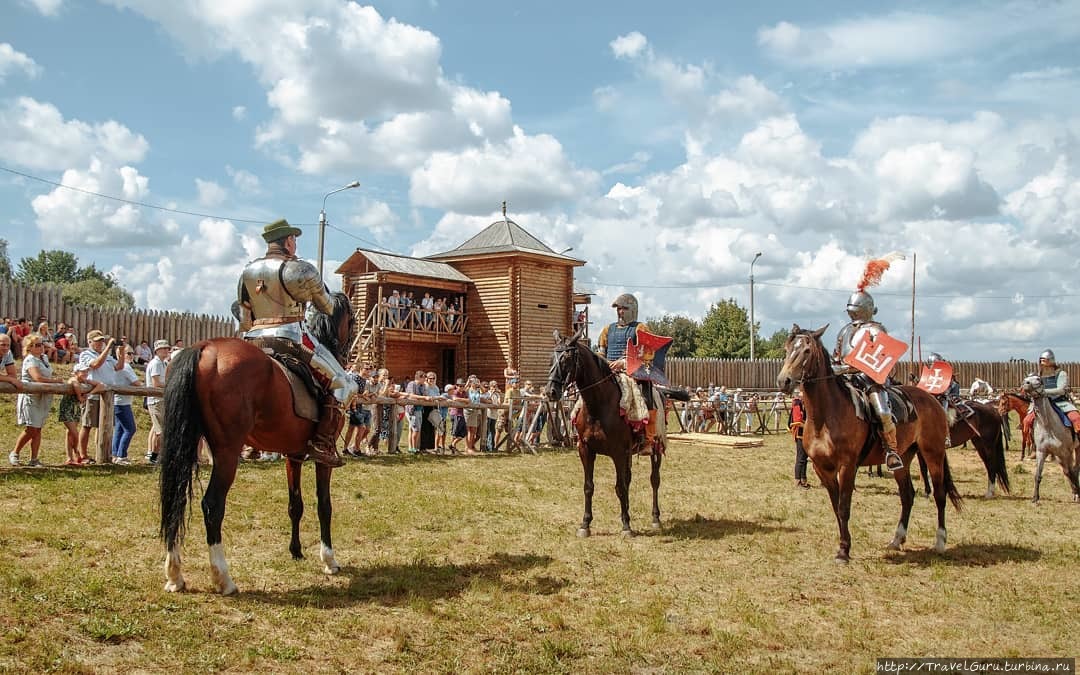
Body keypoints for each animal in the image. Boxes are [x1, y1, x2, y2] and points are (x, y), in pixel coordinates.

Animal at [158, 291, 354, 591]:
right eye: (352, 320)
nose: (348, 352)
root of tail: (203, 348)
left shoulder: (293, 455)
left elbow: (295, 505)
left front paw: (296, 551)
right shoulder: (324, 460)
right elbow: (324, 505)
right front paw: (329, 560)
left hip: (186, 445)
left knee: (175, 497)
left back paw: (175, 575)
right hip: (227, 452)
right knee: (212, 505)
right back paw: (224, 579)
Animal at [548, 328, 665, 537]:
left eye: (567, 359)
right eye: (551, 358)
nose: (551, 391)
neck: (599, 405)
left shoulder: (618, 453)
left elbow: (620, 487)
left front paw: (626, 526)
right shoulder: (586, 450)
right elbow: (589, 487)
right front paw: (585, 524)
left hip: (655, 447)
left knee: (654, 480)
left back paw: (655, 518)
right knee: (629, 479)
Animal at [777, 324, 963, 561]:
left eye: (807, 351)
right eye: (787, 348)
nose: (784, 381)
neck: (825, 416)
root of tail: (932, 399)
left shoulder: (847, 466)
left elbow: (844, 506)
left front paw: (844, 551)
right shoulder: (823, 469)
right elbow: (836, 507)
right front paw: (843, 546)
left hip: (933, 453)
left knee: (940, 495)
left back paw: (939, 542)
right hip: (904, 458)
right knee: (907, 495)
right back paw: (896, 539)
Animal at [1019, 375, 1080, 503]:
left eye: (1038, 379)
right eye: (1027, 377)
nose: (1025, 384)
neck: (1048, 425)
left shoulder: (1066, 452)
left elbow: (1071, 472)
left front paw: (1077, 493)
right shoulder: (1042, 452)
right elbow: (1038, 475)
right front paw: (1035, 498)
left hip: (1075, 450)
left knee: (1075, 469)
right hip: (1060, 456)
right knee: (1068, 471)